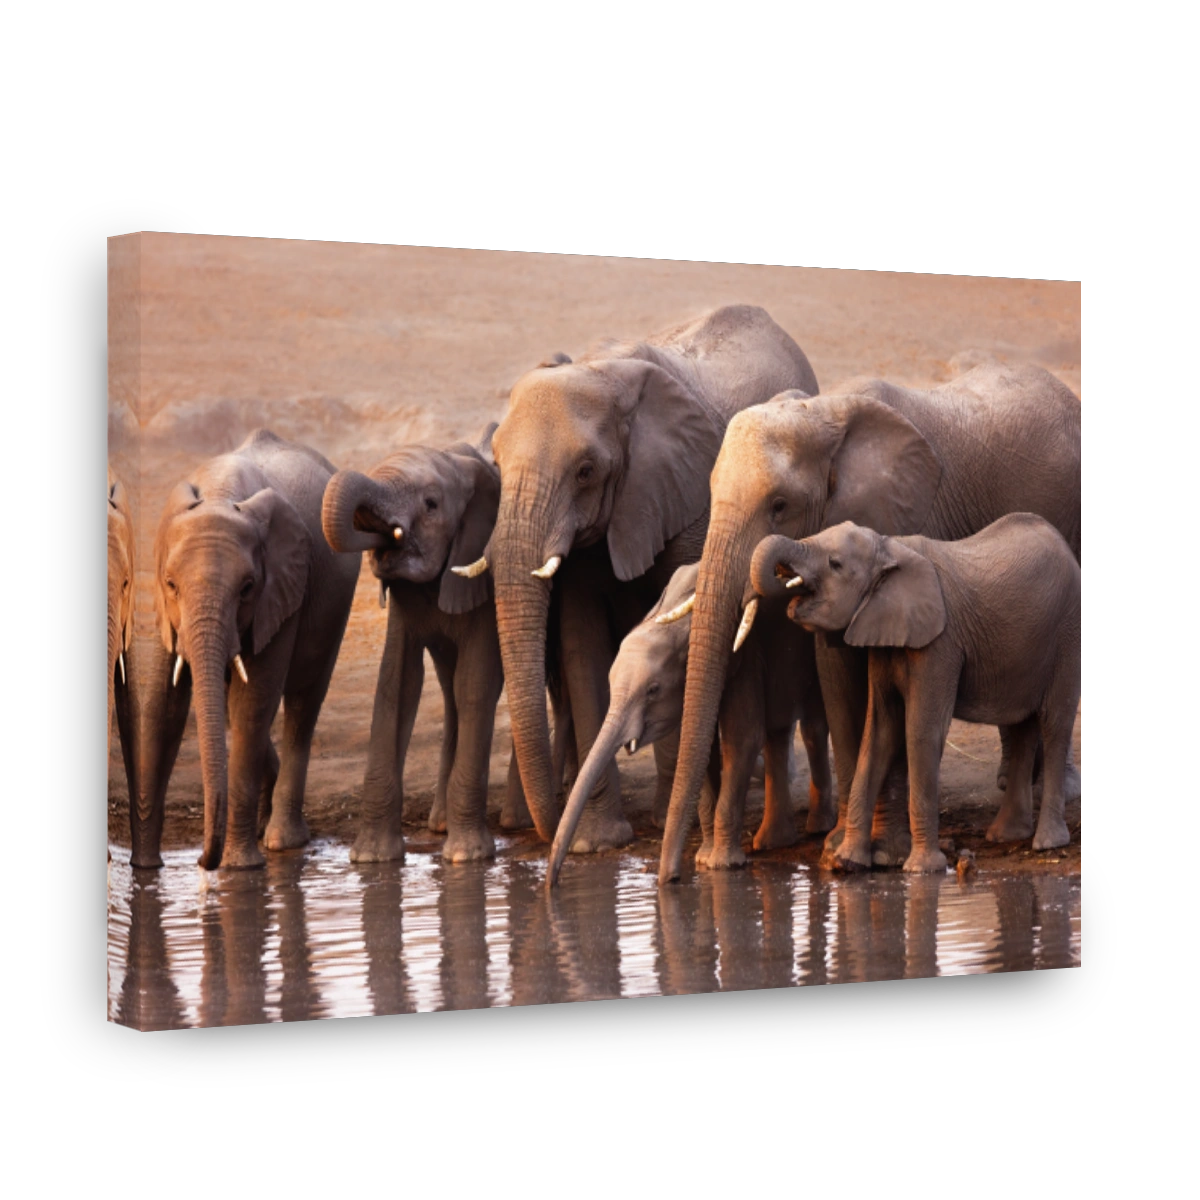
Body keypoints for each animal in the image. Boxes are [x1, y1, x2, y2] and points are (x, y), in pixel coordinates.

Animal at [148, 428, 359, 870]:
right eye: (172, 584)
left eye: (246, 588)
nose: (201, 862)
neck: (218, 492)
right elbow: (164, 706)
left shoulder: (281, 590)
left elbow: (253, 704)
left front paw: (239, 868)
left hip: (333, 606)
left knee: (303, 704)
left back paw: (281, 840)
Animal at [321, 423, 522, 863]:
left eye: (431, 504)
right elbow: (396, 683)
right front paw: (372, 859)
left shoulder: (482, 575)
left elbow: (476, 684)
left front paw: (466, 857)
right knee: (449, 692)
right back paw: (441, 823)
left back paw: (518, 819)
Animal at [458, 305, 819, 859]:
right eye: (496, 462)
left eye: (585, 471)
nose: (543, 831)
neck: (598, 371)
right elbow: (582, 649)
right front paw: (597, 842)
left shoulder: (687, 499)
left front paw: (666, 817)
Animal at [546, 561, 832, 886]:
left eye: (653, 690)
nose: (552, 882)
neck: (675, 622)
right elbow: (701, 743)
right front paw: (704, 859)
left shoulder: (743, 655)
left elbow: (742, 738)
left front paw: (721, 866)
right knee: (779, 732)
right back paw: (772, 842)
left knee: (812, 724)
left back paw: (817, 828)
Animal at [750, 513, 1082, 870]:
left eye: (835, 564)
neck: (889, 548)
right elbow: (879, 731)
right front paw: (846, 862)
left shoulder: (940, 643)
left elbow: (921, 731)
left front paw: (922, 870)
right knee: (1022, 725)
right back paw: (1005, 835)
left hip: (1067, 633)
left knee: (1055, 724)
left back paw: (1047, 843)